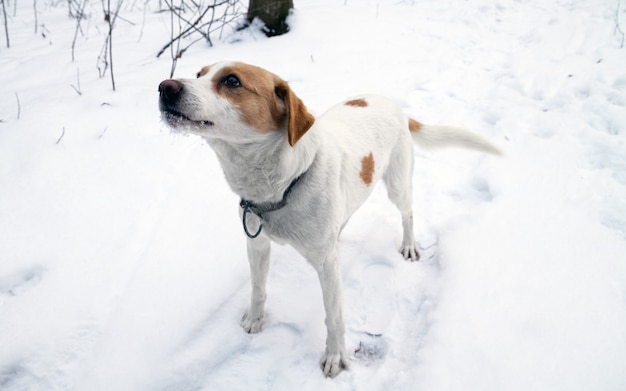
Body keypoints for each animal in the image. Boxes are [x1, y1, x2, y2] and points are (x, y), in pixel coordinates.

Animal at [157, 62, 498, 380]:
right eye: (199, 73)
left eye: (231, 81)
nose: (164, 87)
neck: (283, 184)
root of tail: (393, 104)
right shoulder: (258, 243)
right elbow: (257, 288)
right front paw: (255, 319)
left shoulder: (326, 264)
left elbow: (333, 316)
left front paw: (335, 356)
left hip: (399, 184)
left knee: (408, 213)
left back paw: (409, 244)